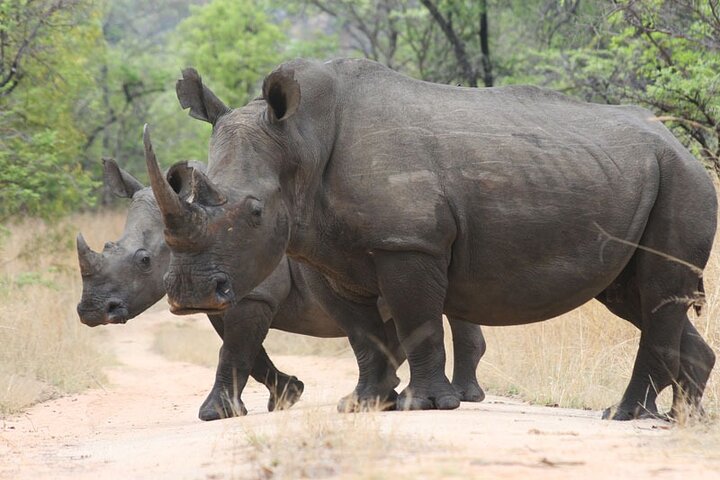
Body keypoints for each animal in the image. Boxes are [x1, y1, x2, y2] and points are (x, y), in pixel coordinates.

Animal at [76, 158, 486, 419]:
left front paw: (217, 413)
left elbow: (234, 350)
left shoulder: (253, 293)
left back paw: (461, 396)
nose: (92, 312)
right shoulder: (222, 295)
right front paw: (288, 395)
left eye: (144, 260)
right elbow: (245, 351)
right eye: (110, 245)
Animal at [147, 58, 716, 420]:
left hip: (684, 181)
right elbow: (362, 334)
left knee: (658, 293)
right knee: (633, 295)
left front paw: (421, 405)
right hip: (642, 176)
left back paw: (625, 415)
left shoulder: (408, 241)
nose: (191, 295)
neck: (300, 139)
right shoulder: (325, 253)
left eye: (256, 212)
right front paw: (364, 405)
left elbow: (416, 318)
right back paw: (680, 419)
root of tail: (679, 144)